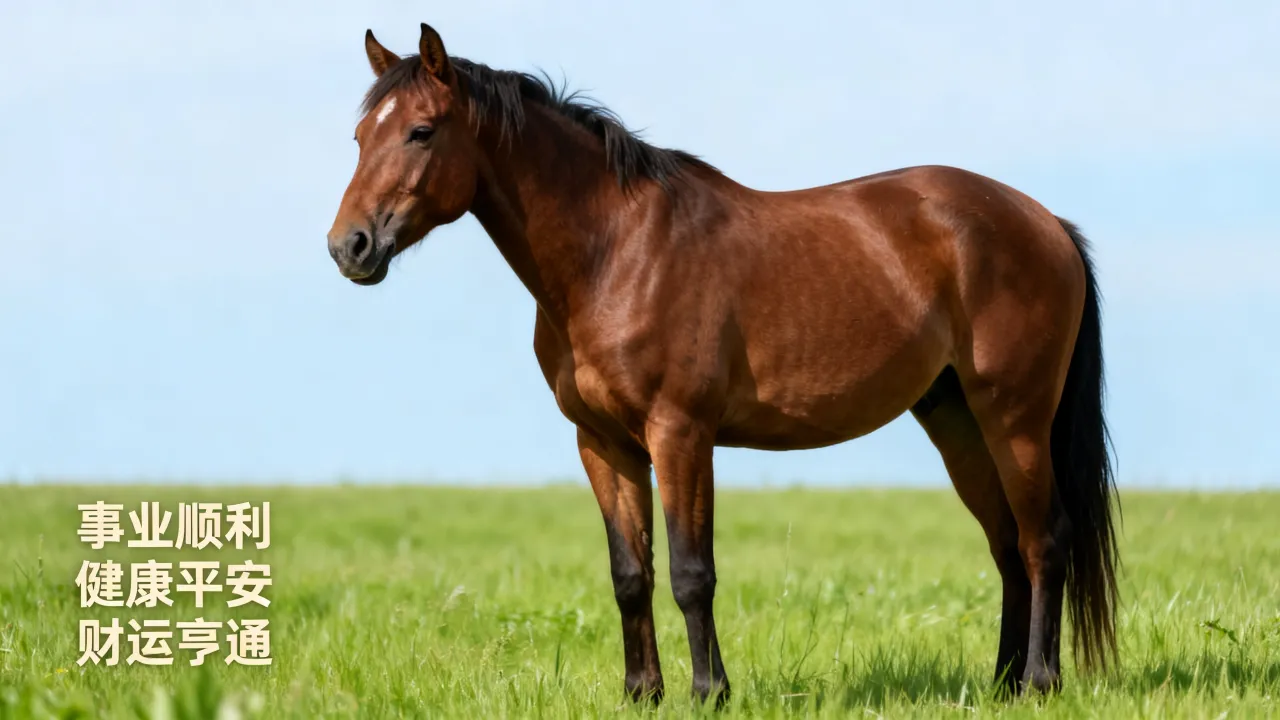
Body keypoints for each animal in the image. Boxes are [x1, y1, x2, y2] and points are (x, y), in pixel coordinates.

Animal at [326, 23, 1120, 705]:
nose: (349, 247)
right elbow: (630, 573)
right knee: (1007, 546)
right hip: (955, 419)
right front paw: (641, 693)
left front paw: (710, 692)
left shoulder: (681, 435)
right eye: (361, 135)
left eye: (421, 131)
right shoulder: (603, 444)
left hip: (1014, 417)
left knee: (1043, 539)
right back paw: (1002, 684)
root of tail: (1046, 223)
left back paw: (1041, 682)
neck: (615, 253)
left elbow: (689, 572)